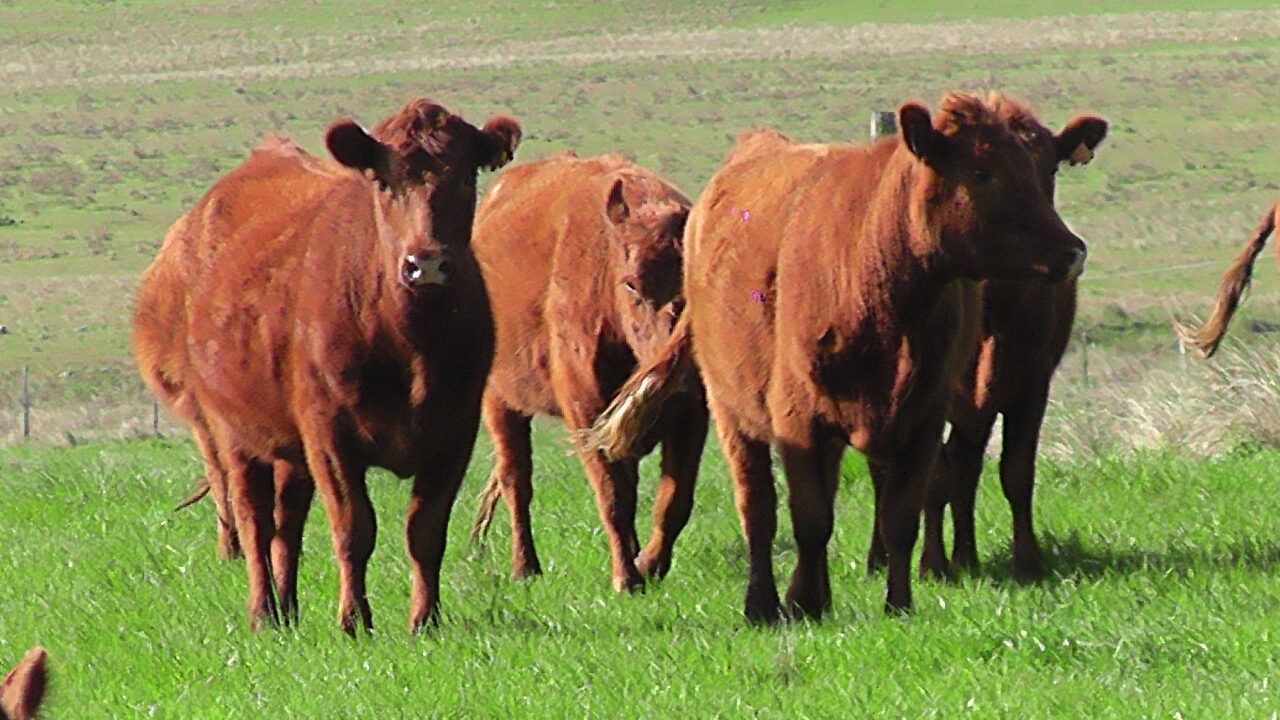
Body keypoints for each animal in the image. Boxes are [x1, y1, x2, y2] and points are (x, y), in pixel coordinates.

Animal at [141, 98, 519, 634]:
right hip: (235, 436)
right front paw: (354, 619)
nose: (425, 264)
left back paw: (288, 609)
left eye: (467, 177)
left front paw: (425, 619)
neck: (413, 344)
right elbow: (353, 528)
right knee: (255, 522)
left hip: (289, 452)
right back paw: (263, 612)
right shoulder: (330, 436)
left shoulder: (455, 434)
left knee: (287, 526)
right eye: (383, 180)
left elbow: (425, 532)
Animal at [468, 152, 705, 592]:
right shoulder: (585, 410)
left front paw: (648, 564)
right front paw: (626, 578)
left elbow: (673, 501)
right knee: (515, 480)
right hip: (500, 404)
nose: (683, 381)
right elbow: (612, 497)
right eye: (631, 285)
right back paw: (524, 567)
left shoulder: (691, 417)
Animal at [588, 93, 1087, 623]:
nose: (1072, 250)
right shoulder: (797, 418)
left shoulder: (926, 417)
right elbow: (810, 519)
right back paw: (761, 602)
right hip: (731, 412)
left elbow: (902, 515)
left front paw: (896, 603)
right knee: (757, 507)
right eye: (982, 171)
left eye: (1042, 169)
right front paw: (804, 602)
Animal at [903, 96, 1109, 581]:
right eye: (984, 174)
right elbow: (933, 475)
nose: (1067, 250)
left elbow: (1016, 472)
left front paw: (1026, 561)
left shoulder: (1032, 384)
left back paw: (967, 555)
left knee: (965, 463)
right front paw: (932, 564)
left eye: (1049, 169)